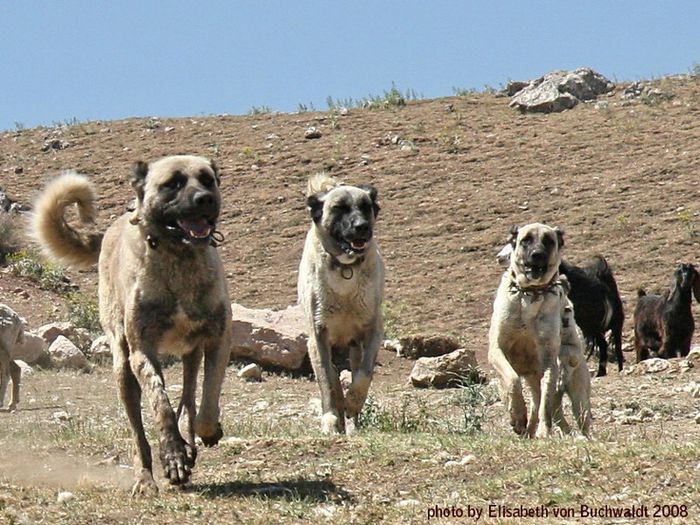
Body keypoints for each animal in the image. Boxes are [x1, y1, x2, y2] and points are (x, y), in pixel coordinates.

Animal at [32, 156, 231, 496]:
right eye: (172, 184)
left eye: (207, 180)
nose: (204, 199)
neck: (179, 258)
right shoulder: (142, 352)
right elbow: (161, 405)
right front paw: (173, 456)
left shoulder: (218, 340)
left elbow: (207, 402)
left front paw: (205, 433)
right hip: (123, 367)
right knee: (140, 433)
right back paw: (146, 478)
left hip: (190, 354)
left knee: (190, 397)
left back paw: (189, 441)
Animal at [296, 174, 382, 432]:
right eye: (339, 208)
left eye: (365, 206)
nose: (362, 226)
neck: (345, 268)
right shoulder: (318, 336)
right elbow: (328, 381)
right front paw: (331, 419)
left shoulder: (373, 331)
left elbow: (364, 374)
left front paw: (353, 402)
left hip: (355, 346)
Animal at [486, 222, 592, 438]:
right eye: (525, 240)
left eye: (549, 241)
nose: (537, 255)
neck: (529, 294)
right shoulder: (497, 350)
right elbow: (512, 380)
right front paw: (517, 414)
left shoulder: (548, 360)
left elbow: (545, 402)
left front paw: (543, 430)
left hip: (578, 393)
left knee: (571, 414)